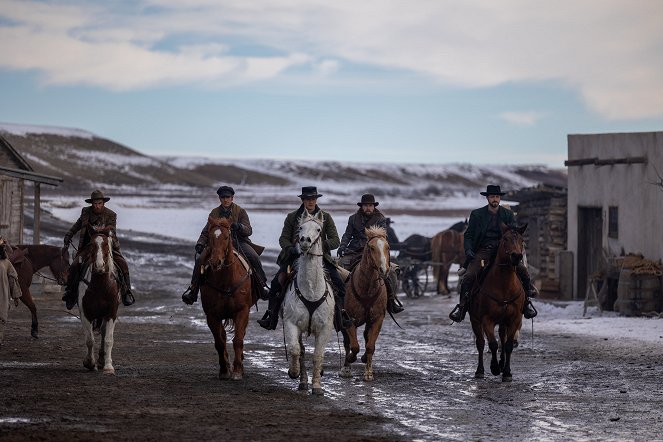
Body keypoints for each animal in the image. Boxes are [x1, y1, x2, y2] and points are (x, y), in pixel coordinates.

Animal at [77, 226, 120, 374]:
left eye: (106, 244)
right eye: (91, 244)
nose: (99, 266)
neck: (101, 286)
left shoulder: (111, 313)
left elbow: (108, 339)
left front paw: (108, 367)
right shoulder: (85, 313)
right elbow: (89, 340)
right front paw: (89, 362)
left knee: (103, 332)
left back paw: (102, 360)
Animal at [200, 217, 254, 380]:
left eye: (226, 237)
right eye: (211, 237)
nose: (215, 262)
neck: (226, 281)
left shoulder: (242, 311)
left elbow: (238, 340)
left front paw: (237, 371)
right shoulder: (212, 315)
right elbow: (219, 342)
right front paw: (224, 370)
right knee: (222, 337)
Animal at [282, 212, 338, 396]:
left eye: (318, 229)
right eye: (300, 227)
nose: (305, 240)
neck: (311, 290)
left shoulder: (325, 328)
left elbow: (317, 356)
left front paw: (317, 386)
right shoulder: (291, 323)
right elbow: (295, 349)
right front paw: (294, 372)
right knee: (301, 351)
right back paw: (302, 381)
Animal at [340, 226, 392, 382]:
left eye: (388, 247)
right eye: (371, 247)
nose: (384, 270)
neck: (367, 289)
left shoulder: (377, 319)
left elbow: (370, 346)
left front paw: (368, 371)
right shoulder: (349, 319)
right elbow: (354, 346)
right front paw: (351, 360)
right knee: (347, 342)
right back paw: (346, 368)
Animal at [466, 224, 528, 384]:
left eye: (522, 240)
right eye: (505, 239)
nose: (516, 256)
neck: (504, 285)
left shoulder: (514, 319)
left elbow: (508, 345)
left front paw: (506, 372)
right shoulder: (487, 319)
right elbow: (492, 344)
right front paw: (494, 368)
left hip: (503, 322)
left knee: (502, 339)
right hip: (475, 320)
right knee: (481, 343)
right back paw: (480, 371)